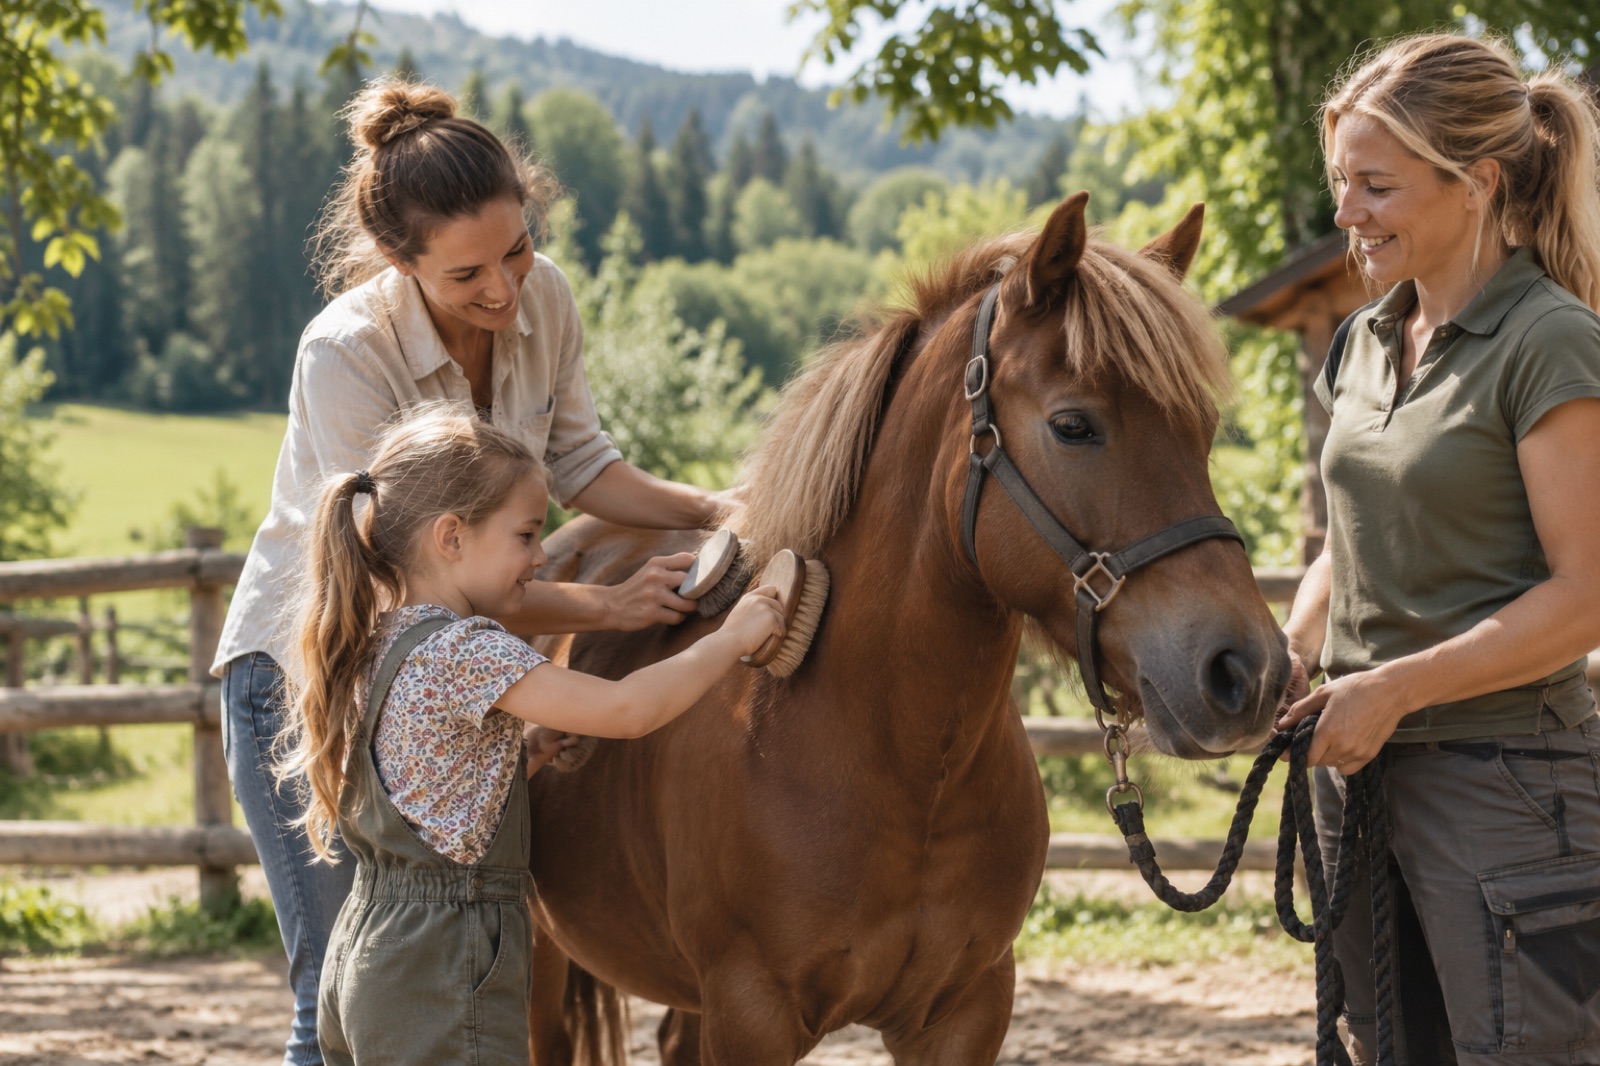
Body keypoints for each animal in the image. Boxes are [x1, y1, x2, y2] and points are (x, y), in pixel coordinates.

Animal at [525, 192, 1292, 1064]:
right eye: (1074, 426)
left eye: (1203, 430)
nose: (1248, 670)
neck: (900, 764)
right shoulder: (751, 1014)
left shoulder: (966, 1009)